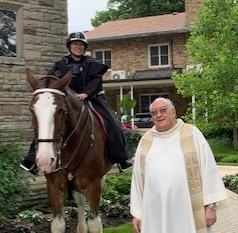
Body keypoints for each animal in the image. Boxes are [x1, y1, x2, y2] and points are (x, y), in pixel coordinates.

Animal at [26, 69, 112, 233]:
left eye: (60, 110)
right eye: (32, 110)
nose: (45, 160)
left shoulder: (94, 183)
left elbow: (95, 224)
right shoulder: (53, 186)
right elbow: (58, 224)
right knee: (80, 201)